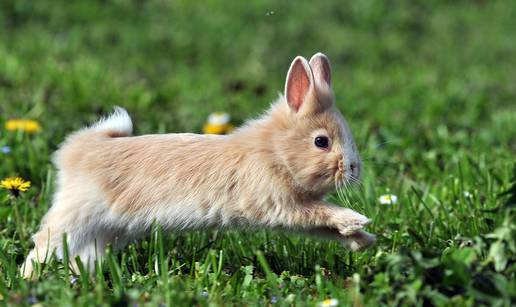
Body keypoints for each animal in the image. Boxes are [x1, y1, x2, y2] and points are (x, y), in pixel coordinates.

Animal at [22, 52, 374, 280]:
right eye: (321, 142)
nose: (354, 169)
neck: (274, 152)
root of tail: (79, 150)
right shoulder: (283, 205)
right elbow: (322, 213)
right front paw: (357, 219)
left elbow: (323, 227)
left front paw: (363, 239)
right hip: (77, 217)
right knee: (44, 243)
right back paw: (29, 279)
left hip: (107, 231)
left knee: (82, 255)